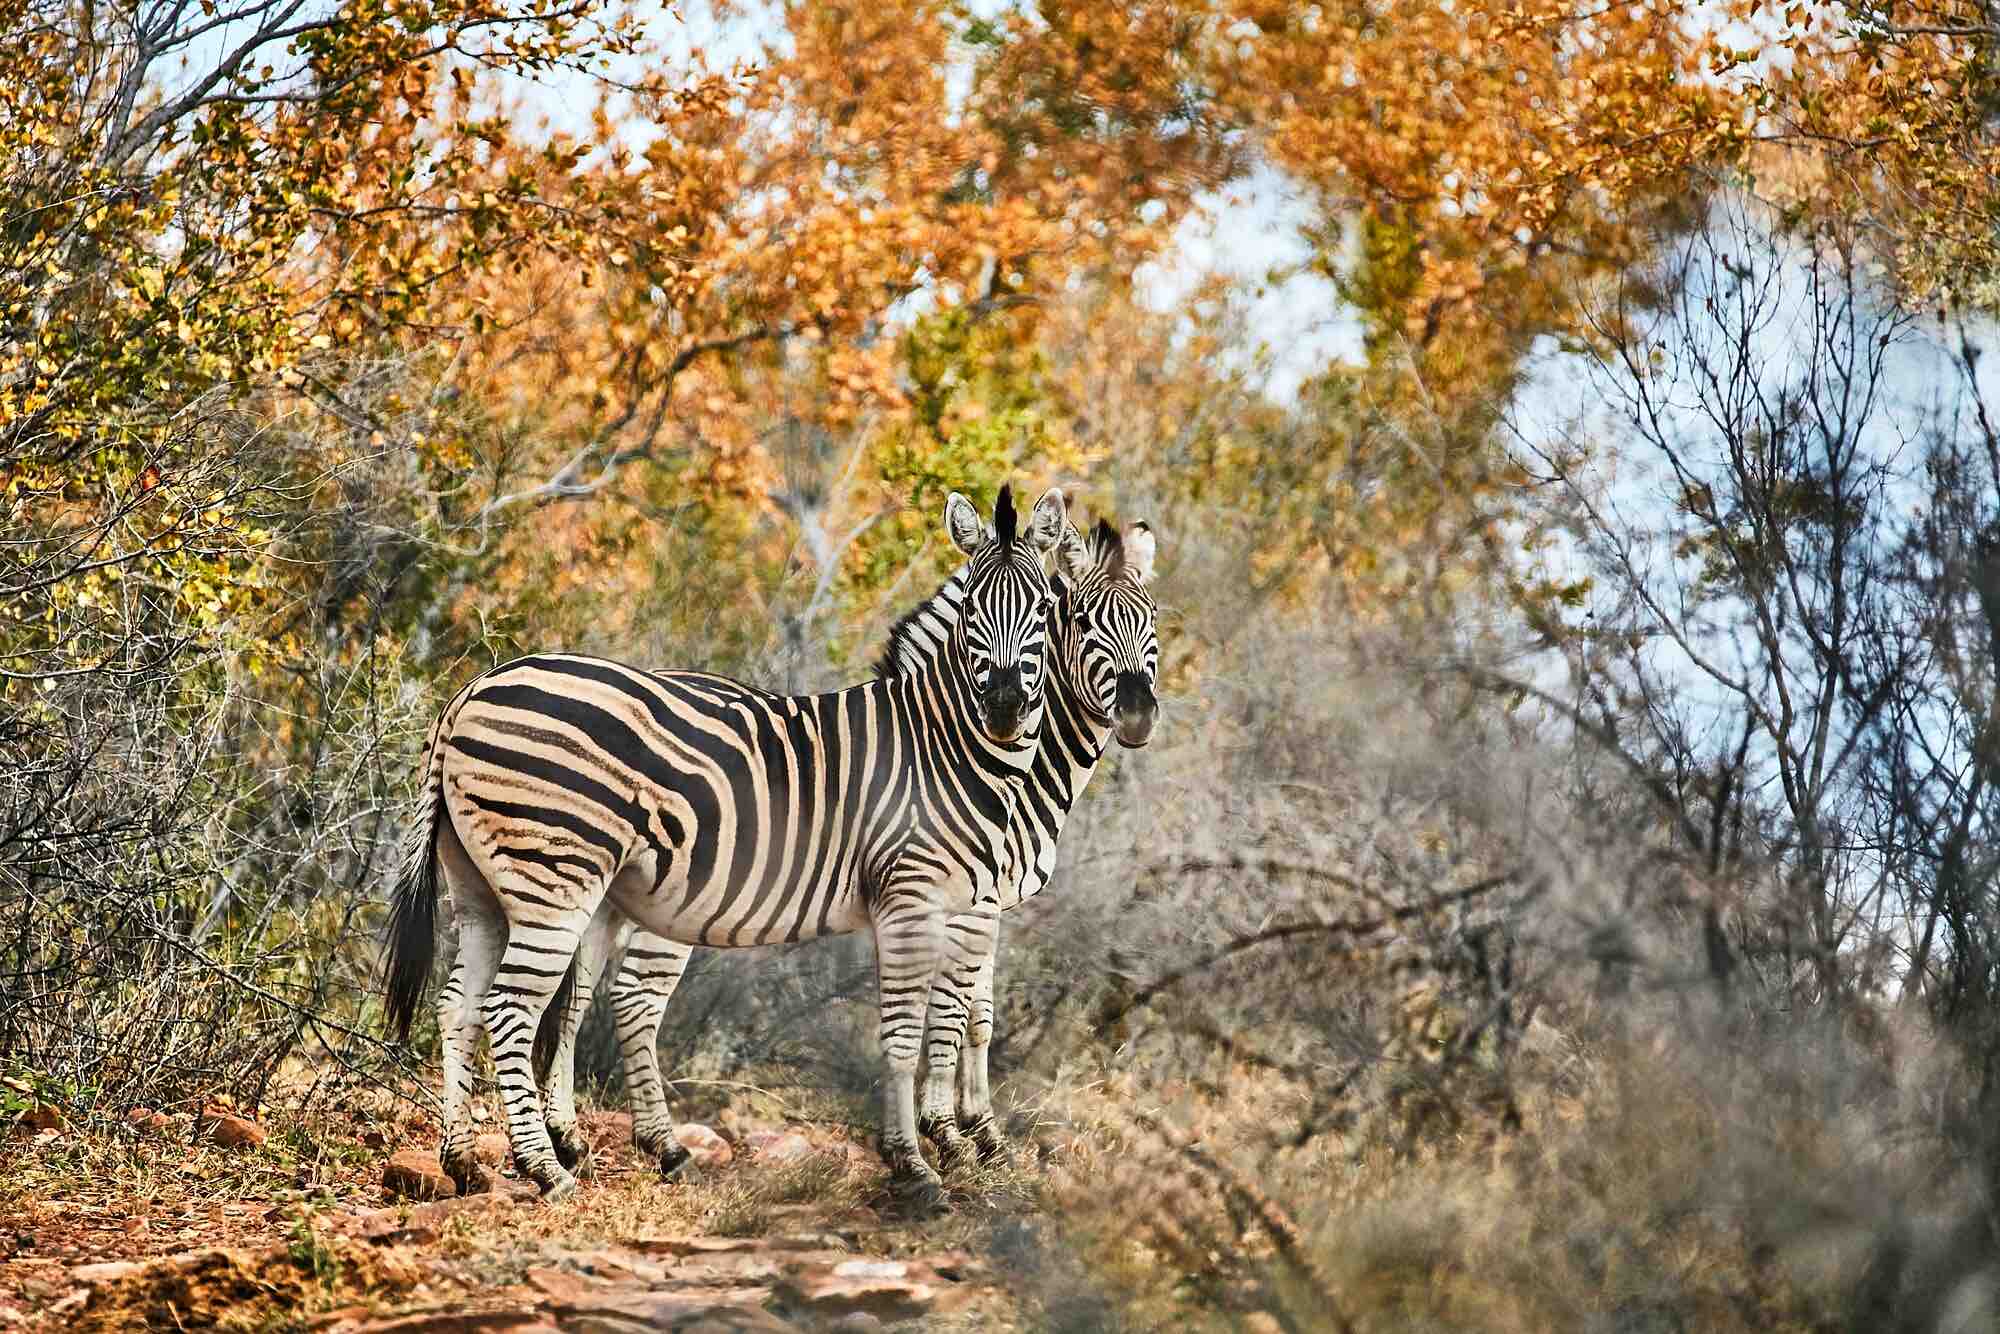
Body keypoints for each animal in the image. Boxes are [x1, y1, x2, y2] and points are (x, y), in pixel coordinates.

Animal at [382, 485, 1068, 1205]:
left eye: (1046, 609)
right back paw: (546, 1168)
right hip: (555, 881)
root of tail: (470, 691)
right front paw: (919, 1163)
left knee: (458, 1006)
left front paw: (935, 1149)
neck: (942, 745)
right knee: (511, 1010)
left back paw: (463, 1161)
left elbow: (944, 1020)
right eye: (973, 610)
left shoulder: (953, 906)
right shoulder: (918, 898)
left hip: (480, 889)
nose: (1003, 706)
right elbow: (915, 1030)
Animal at [530, 514, 1160, 1181]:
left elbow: (972, 1014)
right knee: (625, 997)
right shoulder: (971, 902)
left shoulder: (978, 900)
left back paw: (567, 1135)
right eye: (1085, 622)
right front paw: (957, 1137)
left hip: (608, 890)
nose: (1138, 716)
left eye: (1152, 620)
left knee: (573, 995)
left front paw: (971, 1132)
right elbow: (962, 1015)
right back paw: (649, 1145)